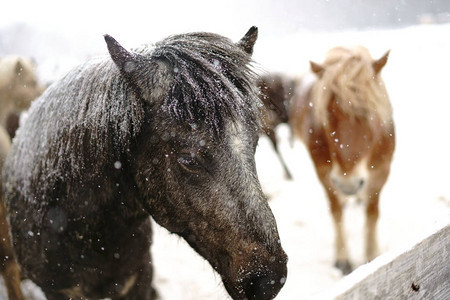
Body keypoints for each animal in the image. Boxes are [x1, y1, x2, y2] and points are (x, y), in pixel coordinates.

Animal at [290, 46, 396, 274]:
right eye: (327, 115)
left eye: (370, 113)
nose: (348, 183)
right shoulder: (324, 174)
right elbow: (336, 211)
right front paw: (343, 258)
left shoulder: (381, 171)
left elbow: (372, 213)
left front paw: (372, 255)